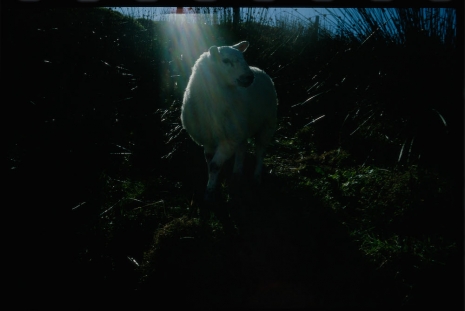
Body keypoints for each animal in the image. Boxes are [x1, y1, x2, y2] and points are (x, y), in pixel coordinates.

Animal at [180, 40, 276, 202]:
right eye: (225, 61)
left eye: (243, 58)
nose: (249, 77)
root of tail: (260, 70)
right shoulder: (208, 139)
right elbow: (209, 162)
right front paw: (212, 185)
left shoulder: (228, 140)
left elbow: (215, 165)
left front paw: (209, 193)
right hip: (241, 127)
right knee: (242, 148)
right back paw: (237, 174)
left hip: (267, 123)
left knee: (260, 151)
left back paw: (256, 177)